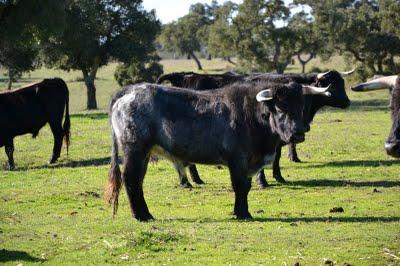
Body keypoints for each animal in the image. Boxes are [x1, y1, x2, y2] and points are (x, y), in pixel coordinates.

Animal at [106, 80, 332, 220]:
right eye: (280, 107)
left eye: (301, 106)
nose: (298, 134)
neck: (251, 115)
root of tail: (129, 91)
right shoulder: (238, 161)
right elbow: (240, 187)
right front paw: (242, 213)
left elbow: (246, 187)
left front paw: (242, 211)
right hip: (135, 150)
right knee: (131, 179)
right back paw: (140, 216)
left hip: (144, 154)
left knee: (138, 181)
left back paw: (145, 214)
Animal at [156, 70, 350, 187]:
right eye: (333, 84)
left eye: (301, 104)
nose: (348, 102)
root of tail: (184, 75)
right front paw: (262, 181)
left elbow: (276, 157)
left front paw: (278, 176)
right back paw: (190, 181)